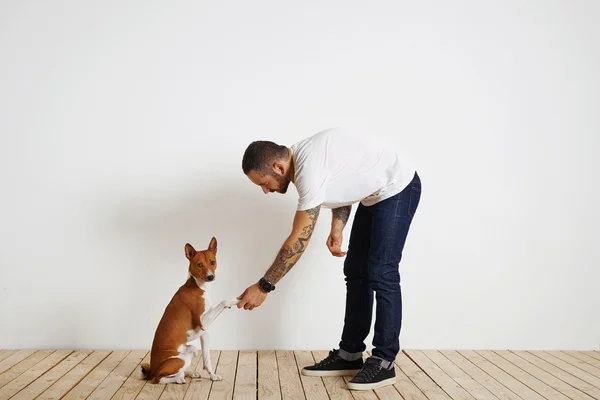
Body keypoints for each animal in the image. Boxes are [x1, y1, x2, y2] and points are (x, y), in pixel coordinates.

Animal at [139, 238, 238, 384]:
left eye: (212, 262)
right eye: (200, 265)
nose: (210, 277)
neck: (197, 286)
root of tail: (152, 370)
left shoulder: (204, 333)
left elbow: (207, 359)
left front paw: (213, 376)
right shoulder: (202, 322)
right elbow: (224, 302)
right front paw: (234, 300)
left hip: (191, 349)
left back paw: (190, 373)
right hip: (180, 360)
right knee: (159, 379)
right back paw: (179, 379)